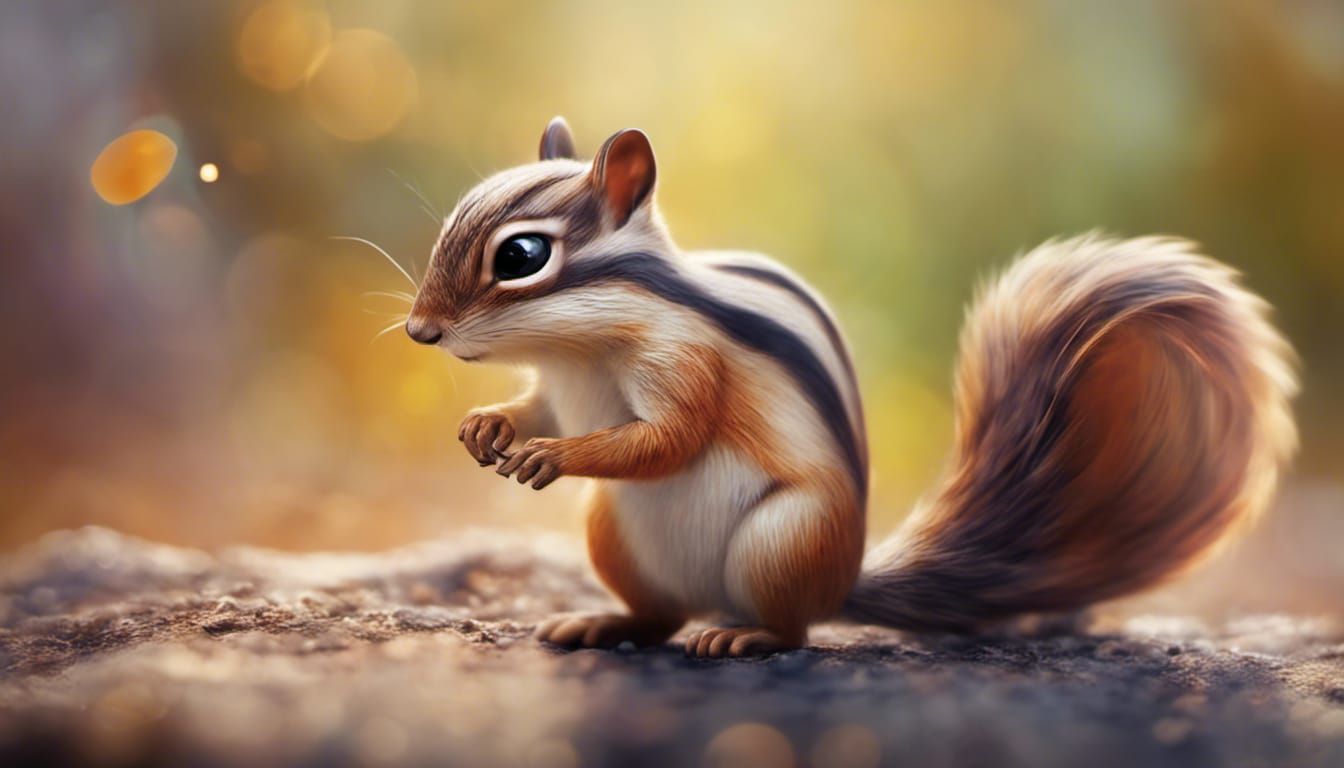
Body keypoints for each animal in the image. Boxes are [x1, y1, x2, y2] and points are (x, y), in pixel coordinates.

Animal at [405, 117, 1298, 658]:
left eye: (522, 256)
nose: (419, 333)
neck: (581, 346)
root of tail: (844, 579)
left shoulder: (689, 360)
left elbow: (668, 439)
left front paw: (551, 455)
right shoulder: (558, 385)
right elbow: (537, 406)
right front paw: (488, 428)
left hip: (786, 539)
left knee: (794, 630)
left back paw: (746, 639)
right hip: (613, 534)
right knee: (659, 618)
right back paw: (602, 622)